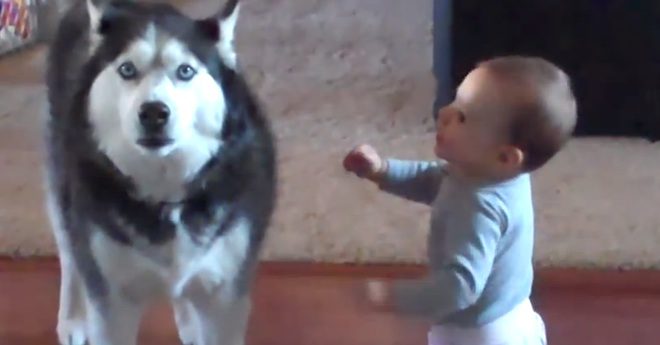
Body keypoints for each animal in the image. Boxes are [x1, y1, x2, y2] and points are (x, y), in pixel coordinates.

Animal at [42, 0, 276, 342]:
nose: (154, 112)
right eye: (127, 69)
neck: (166, 193)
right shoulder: (112, 304)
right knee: (71, 255)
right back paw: (73, 318)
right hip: (61, 187)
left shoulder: (225, 299)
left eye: (185, 71)